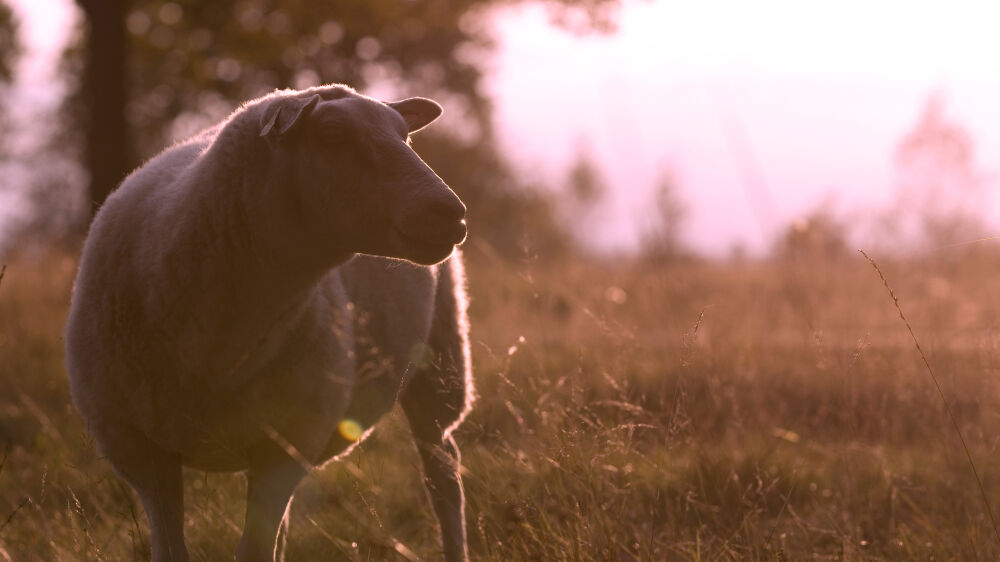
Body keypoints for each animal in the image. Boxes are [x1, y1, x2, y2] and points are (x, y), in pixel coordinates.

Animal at [64, 84, 474, 560]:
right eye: (332, 134)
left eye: (405, 136)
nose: (451, 212)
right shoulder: (136, 447)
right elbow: (174, 550)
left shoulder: (287, 442)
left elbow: (253, 550)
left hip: (441, 369)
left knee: (442, 475)